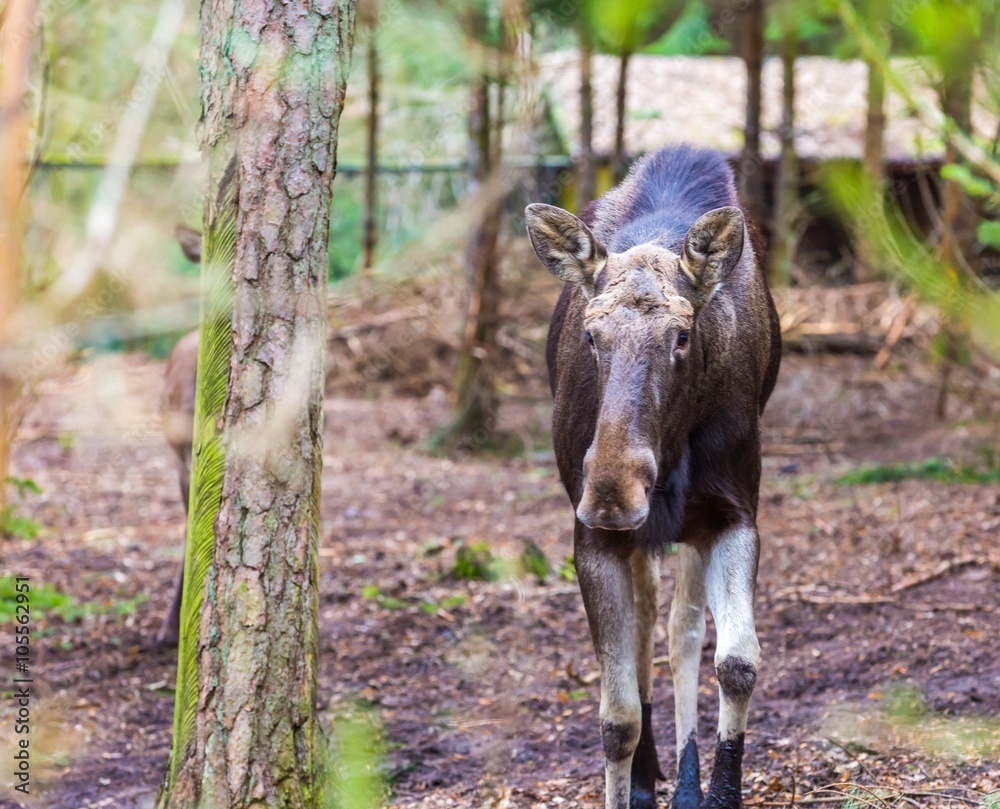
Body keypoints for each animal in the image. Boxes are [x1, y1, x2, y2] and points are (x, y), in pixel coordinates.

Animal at [524, 145, 780, 808]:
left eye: (682, 335)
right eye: (591, 335)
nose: (613, 492)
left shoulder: (733, 512)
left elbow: (735, 661)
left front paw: (716, 791)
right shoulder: (591, 537)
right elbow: (615, 717)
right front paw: (632, 780)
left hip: (685, 525)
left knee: (677, 630)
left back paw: (683, 781)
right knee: (643, 635)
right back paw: (646, 778)